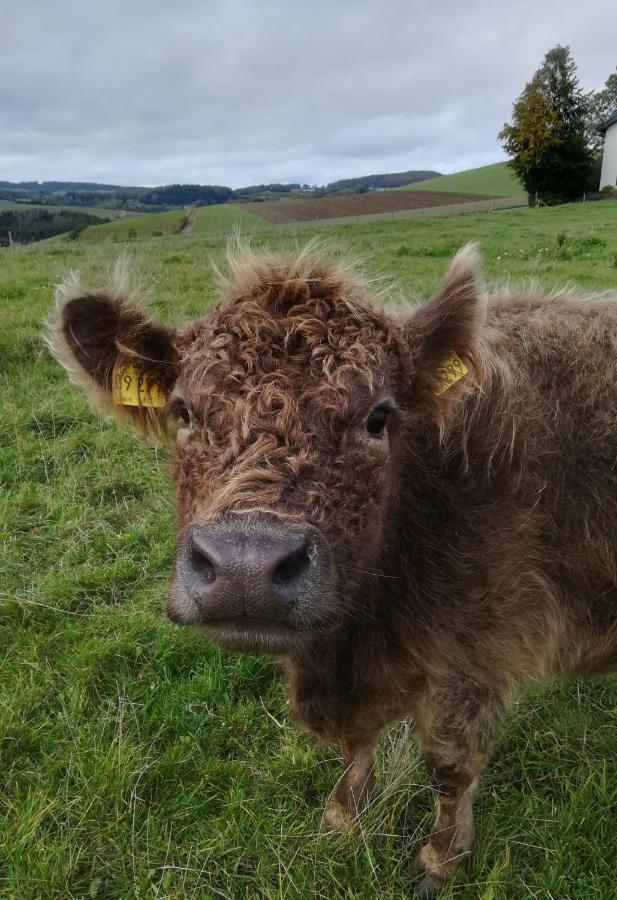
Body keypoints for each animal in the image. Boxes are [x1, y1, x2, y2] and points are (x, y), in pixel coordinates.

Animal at [45, 243, 616, 896]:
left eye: (378, 417)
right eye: (184, 412)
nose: (246, 566)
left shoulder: (483, 648)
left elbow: (449, 765)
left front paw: (441, 859)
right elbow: (355, 746)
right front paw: (342, 816)